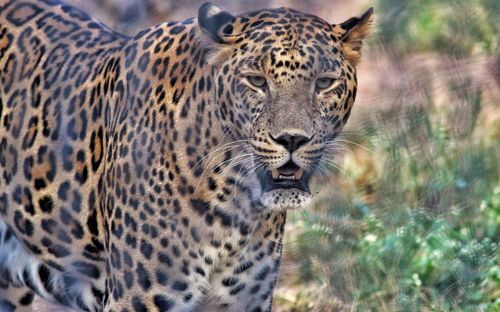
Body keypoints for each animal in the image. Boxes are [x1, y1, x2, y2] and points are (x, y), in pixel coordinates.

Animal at [0, 1, 374, 310]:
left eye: (324, 83)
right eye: (256, 81)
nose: (292, 139)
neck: (237, 205)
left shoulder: (246, 300)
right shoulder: (135, 299)